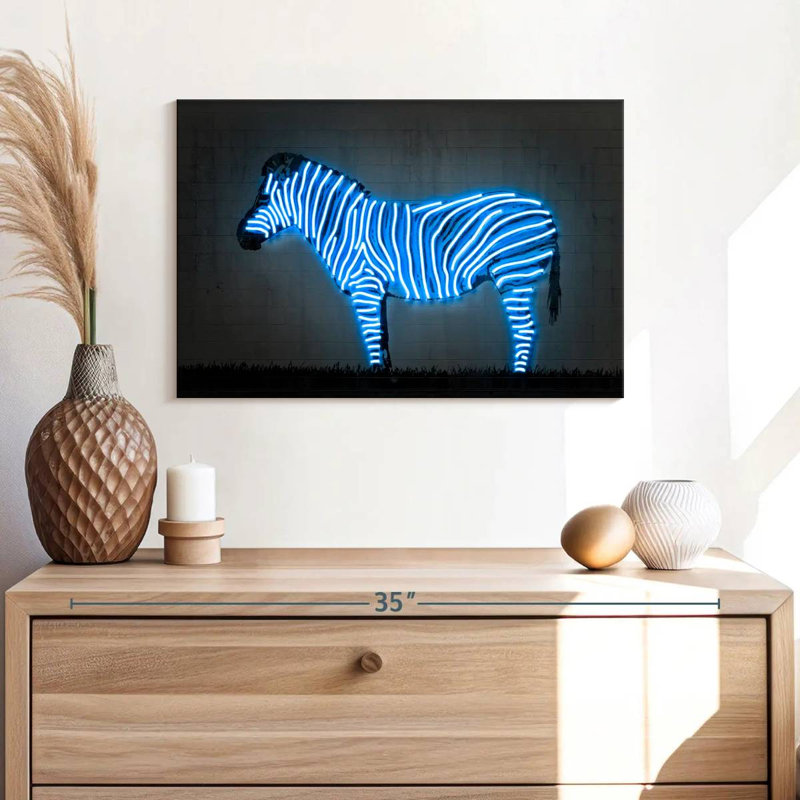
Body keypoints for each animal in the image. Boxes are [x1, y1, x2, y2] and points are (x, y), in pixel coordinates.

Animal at [237, 153, 560, 372]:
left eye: (262, 198)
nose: (240, 238)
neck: (342, 224)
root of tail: (546, 211)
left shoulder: (365, 288)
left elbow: (370, 337)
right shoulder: (376, 292)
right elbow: (382, 338)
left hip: (514, 274)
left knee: (525, 330)